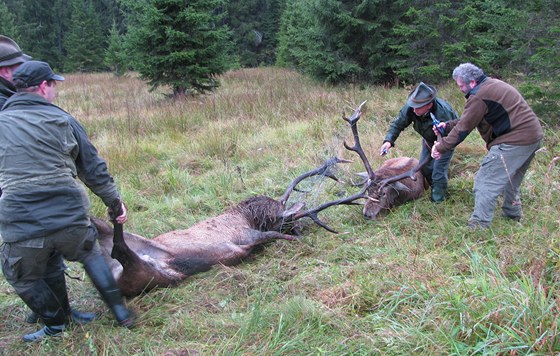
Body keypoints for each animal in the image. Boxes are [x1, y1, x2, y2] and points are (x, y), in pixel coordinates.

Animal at [94, 157, 360, 296]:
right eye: (287, 220)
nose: (300, 228)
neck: (247, 215)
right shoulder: (244, 236)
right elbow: (270, 235)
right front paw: (298, 240)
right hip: (140, 270)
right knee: (118, 246)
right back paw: (114, 210)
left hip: (146, 273)